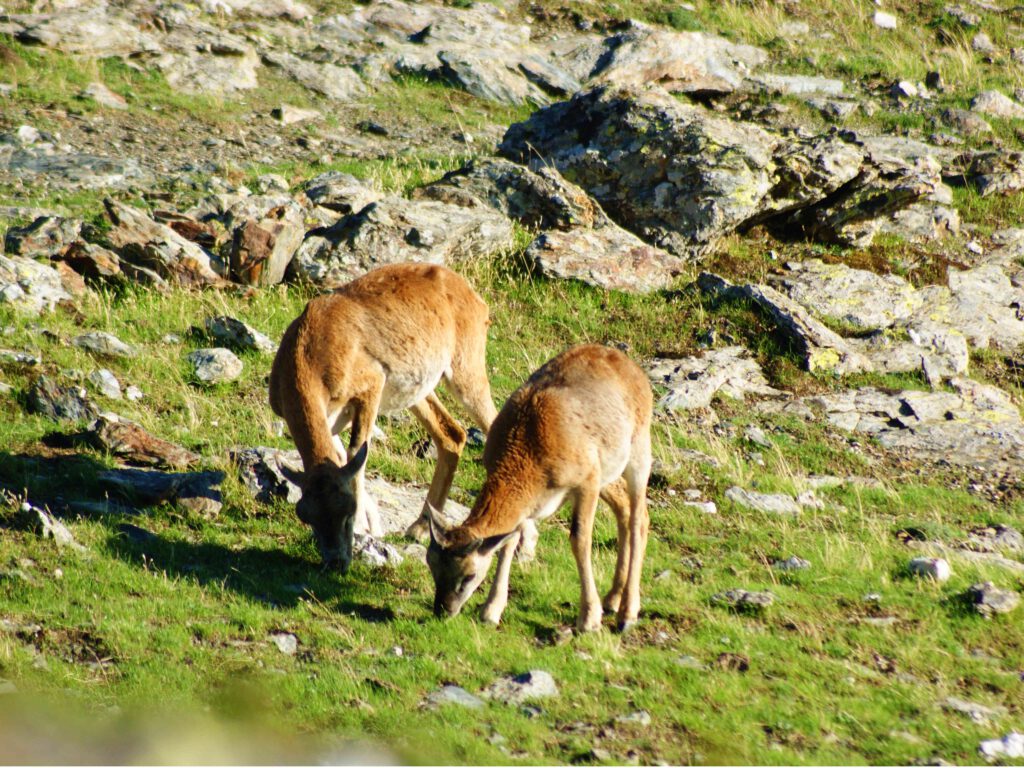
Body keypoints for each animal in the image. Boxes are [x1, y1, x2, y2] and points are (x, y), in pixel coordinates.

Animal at [272, 264, 512, 573]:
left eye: (347, 508)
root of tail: (470, 294)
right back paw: (418, 528)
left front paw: (365, 528)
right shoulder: (332, 421)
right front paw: (373, 525)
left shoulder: (369, 389)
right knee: (452, 435)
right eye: (305, 514)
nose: (336, 562)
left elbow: (357, 452)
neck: (310, 349)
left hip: (465, 376)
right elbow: (342, 457)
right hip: (419, 393)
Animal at [425, 346, 651, 634]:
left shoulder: (587, 482)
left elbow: (580, 540)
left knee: (639, 518)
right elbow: (509, 541)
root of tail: (632, 368)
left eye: (469, 575)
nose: (443, 610)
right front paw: (491, 611)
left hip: (639, 452)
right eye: (431, 563)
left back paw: (627, 614)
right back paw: (612, 600)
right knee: (626, 511)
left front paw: (589, 619)